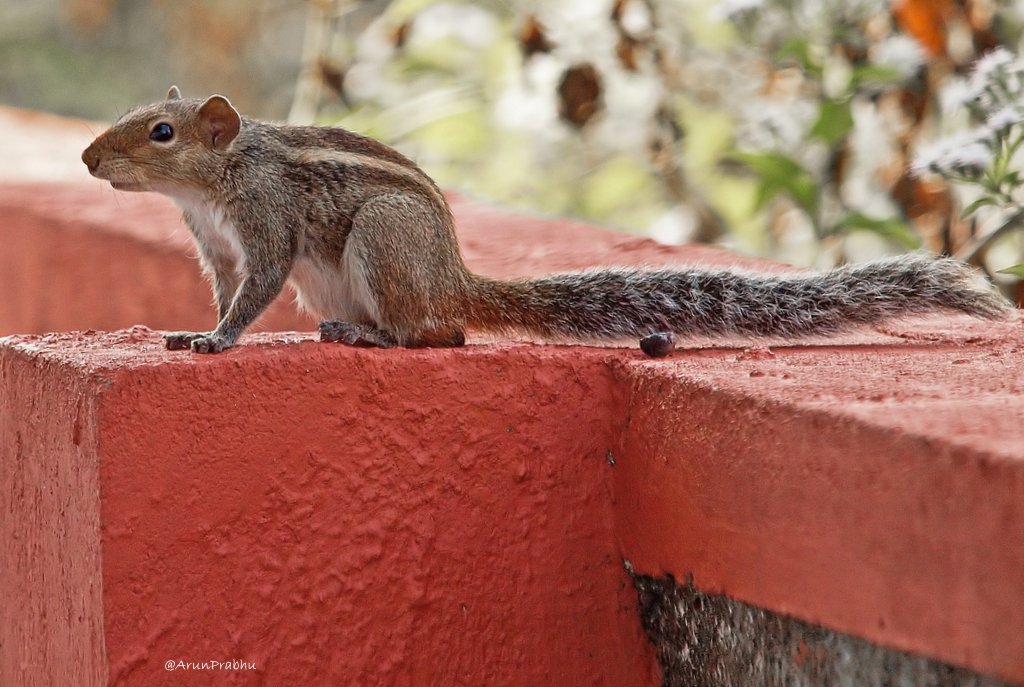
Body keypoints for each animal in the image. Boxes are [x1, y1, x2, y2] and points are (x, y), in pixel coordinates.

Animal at [81, 87, 1007, 354]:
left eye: (160, 132)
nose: (88, 159)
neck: (214, 185)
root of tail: (456, 276)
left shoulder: (266, 220)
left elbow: (259, 283)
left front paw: (219, 341)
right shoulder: (216, 245)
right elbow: (227, 286)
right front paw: (194, 331)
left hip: (383, 236)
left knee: (441, 333)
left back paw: (373, 334)